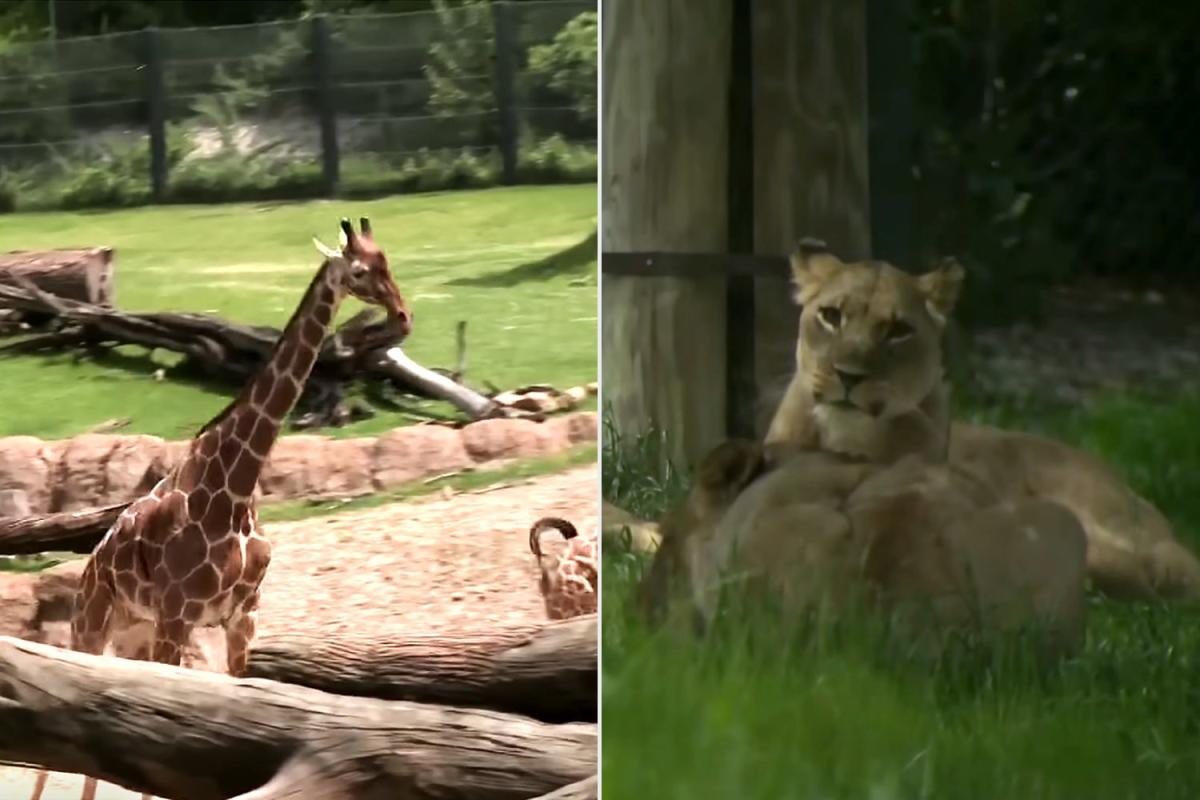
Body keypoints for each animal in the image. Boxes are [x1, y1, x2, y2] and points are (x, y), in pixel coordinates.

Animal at [46, 217, 410, 800]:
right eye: (358, 271)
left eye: (387, 261)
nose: (402, 316)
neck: (234, 489)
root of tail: (90, 565)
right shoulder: (178, 617)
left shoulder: (243, 617)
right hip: (95, 624)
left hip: (136, 631)